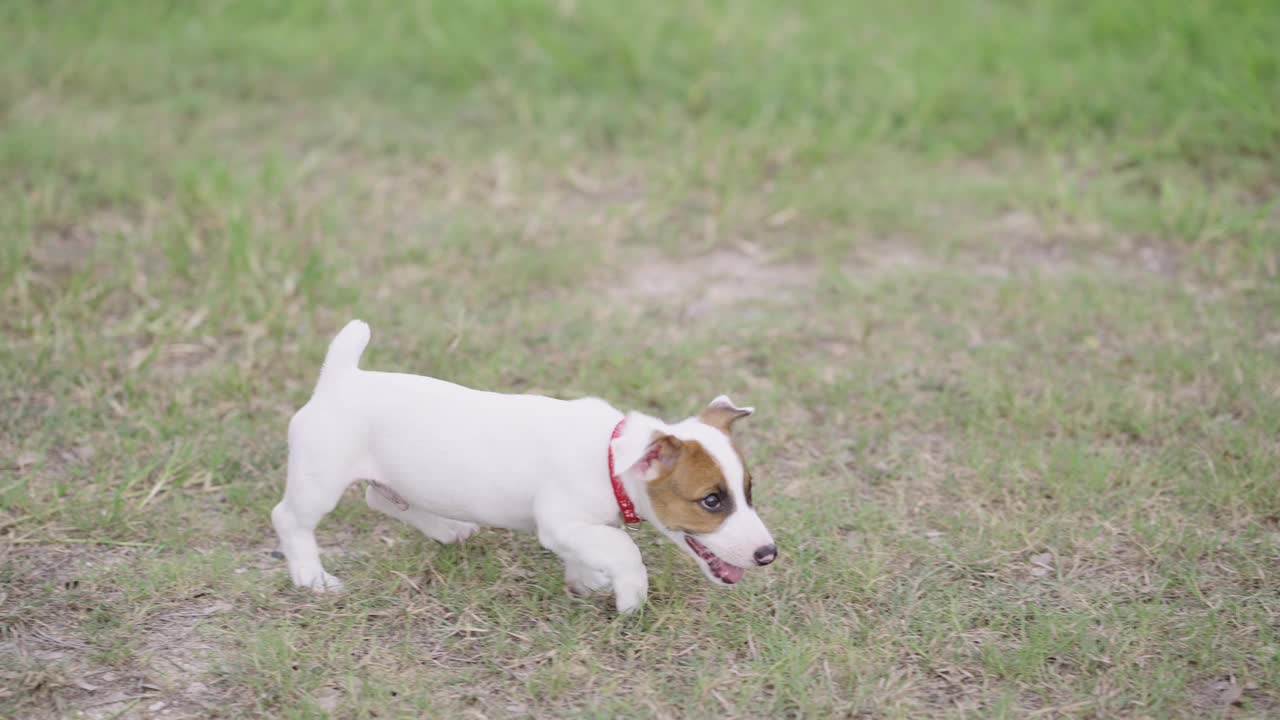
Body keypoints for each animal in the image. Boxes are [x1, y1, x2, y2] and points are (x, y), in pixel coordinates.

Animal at [272, 319, 778, 609]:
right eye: (711, 501)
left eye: (748, 492)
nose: (768, 554)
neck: (609, 455)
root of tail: (340, 377)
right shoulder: (562, 523)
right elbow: (624, 550)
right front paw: (629, 594)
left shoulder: (575, 529)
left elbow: (595, 551)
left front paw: (589, 580)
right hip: (320, 478)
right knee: (289, 519)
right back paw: (311, 578)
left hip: (394, 478)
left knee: (381, 498)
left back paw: (447, 529)